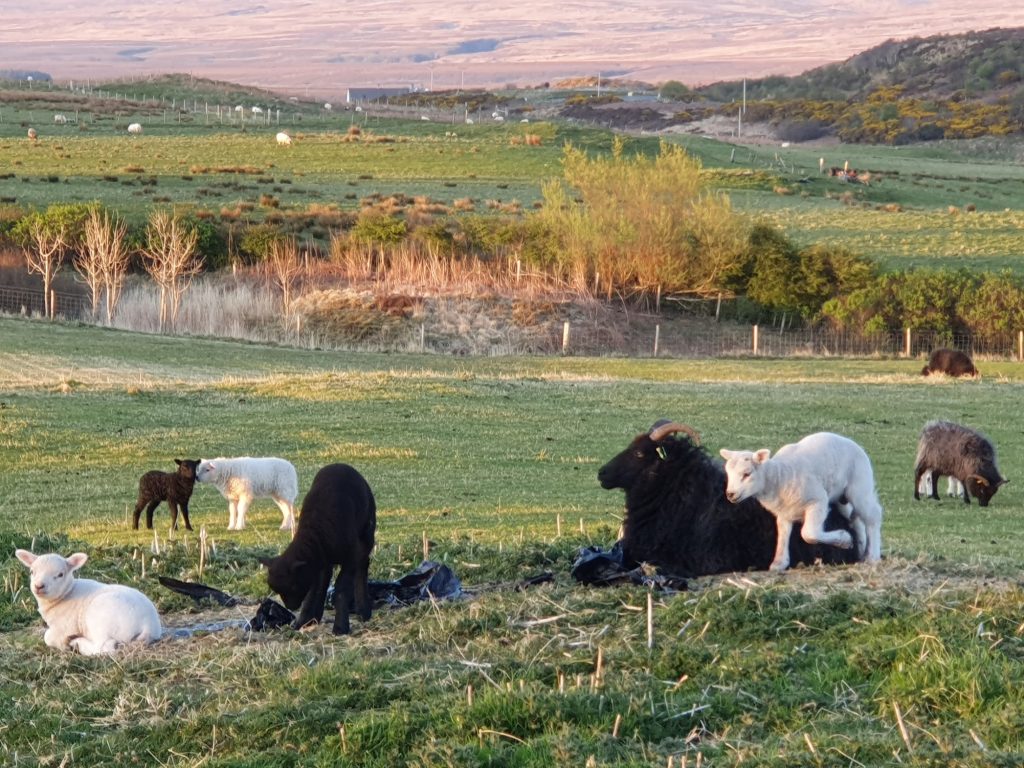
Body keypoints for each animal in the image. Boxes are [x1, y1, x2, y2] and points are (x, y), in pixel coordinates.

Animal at [14, 548, 161, 659]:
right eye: (32, 571)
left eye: (60, 574)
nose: (39, 586)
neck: (66, 594)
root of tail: (149, 625)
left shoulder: (65, 626)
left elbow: (48, 637)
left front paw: (64, 644)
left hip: (100, 620)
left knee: (105, 648)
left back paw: (78, 643)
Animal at [258, 462, 378, 638]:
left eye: (293, 586)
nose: (291, 606)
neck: (316, 532)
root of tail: (340, 464)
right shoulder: (317, 562)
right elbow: (315, 589)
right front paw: (304, 620)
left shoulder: (350, 556)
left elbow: (340, 589)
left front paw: (340, 627)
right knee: (324, 581)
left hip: (366, 533)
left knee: (363, 566)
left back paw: (364, 610)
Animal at [716, 434, 884, 573]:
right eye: (729, 473)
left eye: (747, 474)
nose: (730, 494)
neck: (779, 478)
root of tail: (852, 442)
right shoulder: (784, 512)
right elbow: (783, 535)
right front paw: (779, 563)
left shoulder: (817, 501)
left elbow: (808, 534)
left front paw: (844, 539)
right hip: (842, 498)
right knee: (856, 520)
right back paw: (861, 552)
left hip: (860, 485)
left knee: (873, 516)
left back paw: (872, 556)